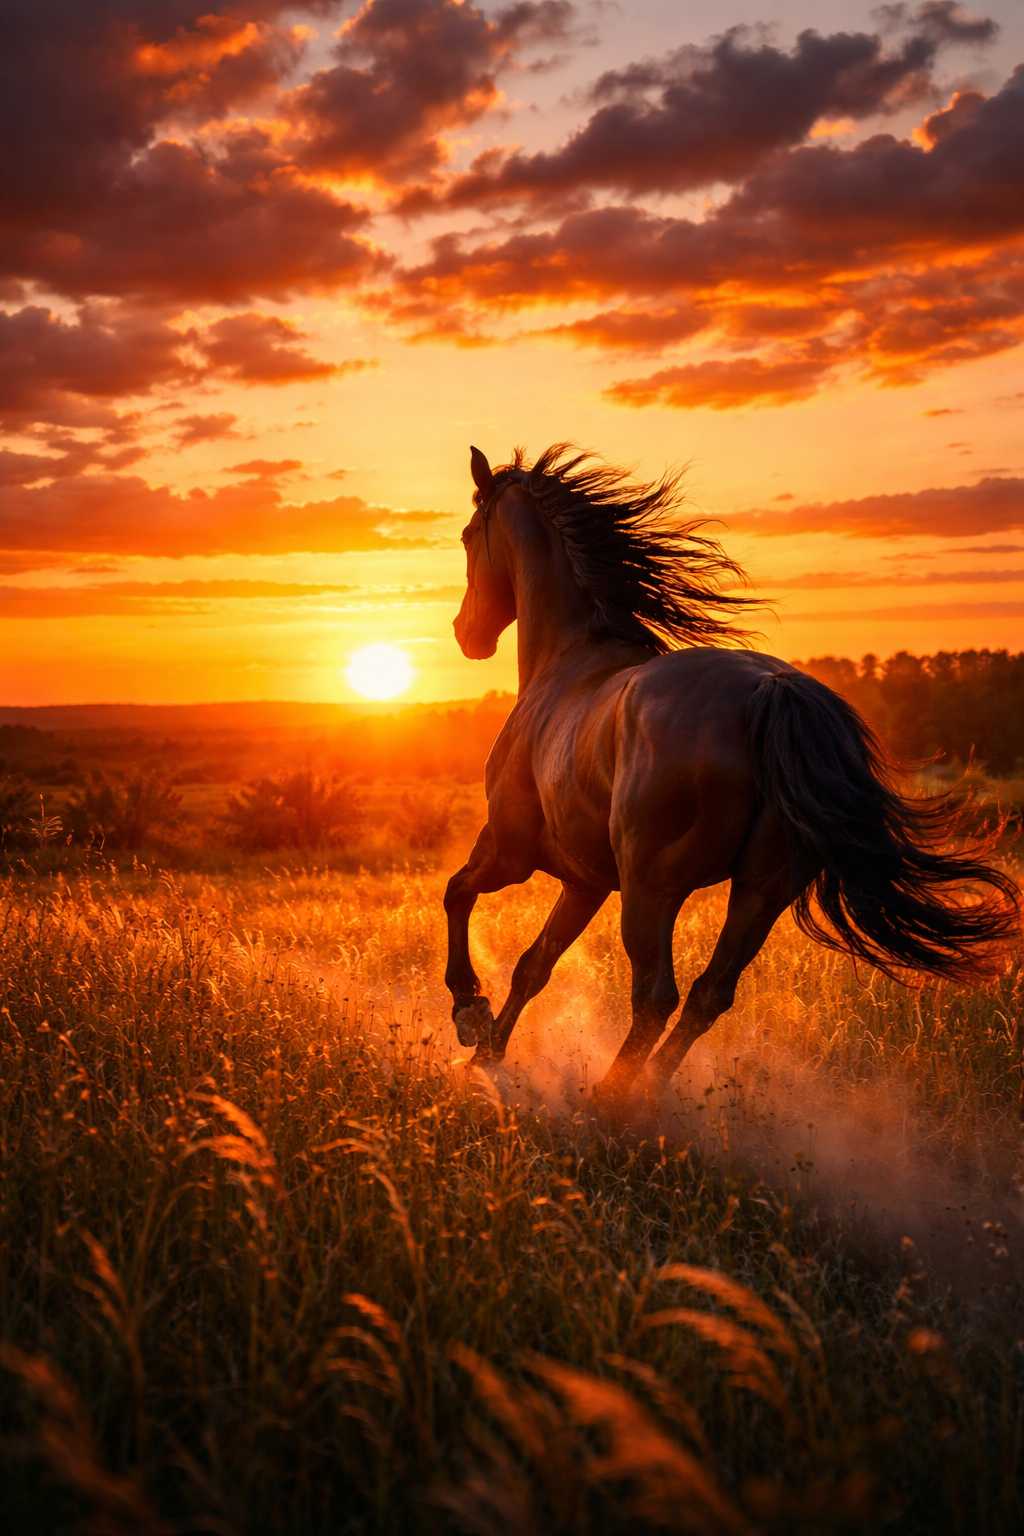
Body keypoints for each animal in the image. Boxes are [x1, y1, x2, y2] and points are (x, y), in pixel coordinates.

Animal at [443, 444, 1019, 1100]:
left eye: (468, 535)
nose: (466, 633)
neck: (566, 663)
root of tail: (772, 694)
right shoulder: (584, 880)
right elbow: (533, 964)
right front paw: (485, 1056)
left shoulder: (510, 852)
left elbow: (457, 894)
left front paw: (469, 1016)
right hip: (762, 889)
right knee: (708, 995)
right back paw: (645, 1098)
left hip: (653, 887)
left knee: (656, 996)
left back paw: (611, 1100)